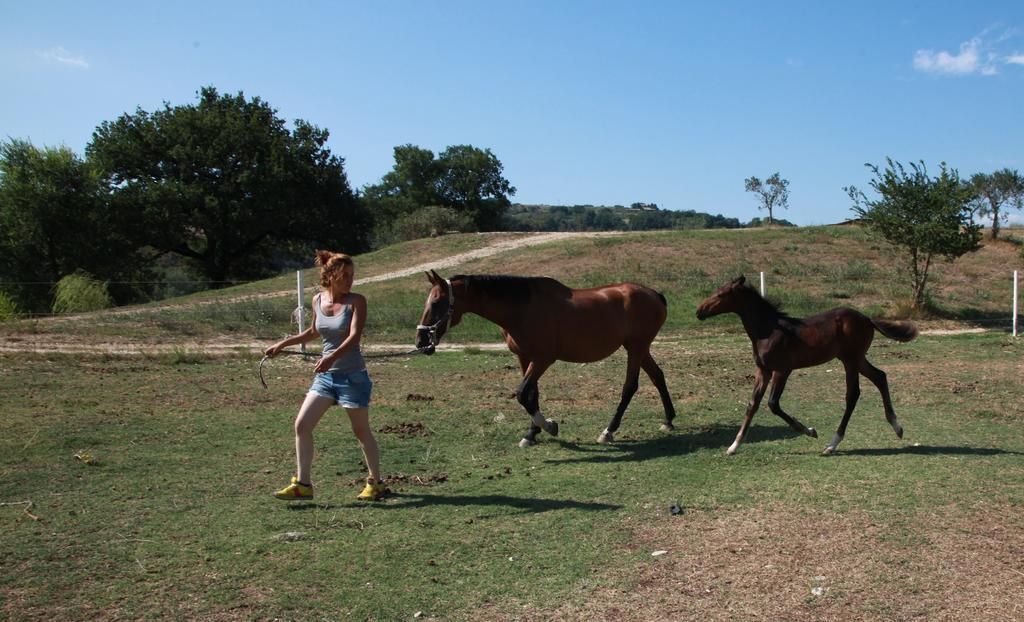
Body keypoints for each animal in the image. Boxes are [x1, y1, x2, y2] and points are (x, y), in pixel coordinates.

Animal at [411, 270, 675, 444]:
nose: (421, 342)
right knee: (658, 377)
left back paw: (608, 431)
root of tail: (655, 295)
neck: (521, 309)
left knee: (630, 387)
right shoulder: (524, 358)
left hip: (636, 349)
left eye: (437, 302)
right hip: (640, 349)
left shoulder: (542, 360)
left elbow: (521, 394)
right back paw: (668, 420)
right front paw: (531, 434)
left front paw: (548, 426)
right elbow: (531, 395)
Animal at [696, 276, 921, 457]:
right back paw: (897, 427)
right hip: (854, 359)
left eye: (721, 294)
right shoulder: (763, 370)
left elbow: (773, 404)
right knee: (879, 377)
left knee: (853, 394)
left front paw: (810, 431)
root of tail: (867, 318)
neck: (768, 330)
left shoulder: (782, 370)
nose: (699, 311)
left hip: (851, 359)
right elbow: (753, 404)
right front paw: (733, 446)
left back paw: (832, 444)